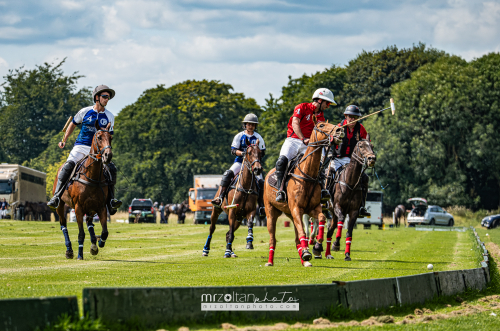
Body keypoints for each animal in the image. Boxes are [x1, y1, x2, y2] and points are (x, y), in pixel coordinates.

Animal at [54, 120, 114, 260]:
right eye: (99, 137)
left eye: (111, 138)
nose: (107, 156)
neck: (92, 177)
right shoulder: (78, 208)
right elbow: (81, 233)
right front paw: (80, 255)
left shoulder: (101, 207)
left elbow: (105, 232)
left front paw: (99, 242)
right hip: (61, 205)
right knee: (63, 225)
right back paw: (69, 250)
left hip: (91, 208)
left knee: (89, 223)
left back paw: (94, 245)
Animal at [264, 118, 342, 268]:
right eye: (321, 125)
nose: (339, 130)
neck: (307, 175)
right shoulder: (296, 209)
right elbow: (302, 231)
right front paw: (307, 252)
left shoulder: (313, 208)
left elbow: (321, 219)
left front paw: (316, 245)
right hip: (271, 212)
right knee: (272, 239)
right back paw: (270, 262)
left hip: (290, 214)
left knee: (296, 240)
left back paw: (304, 261)